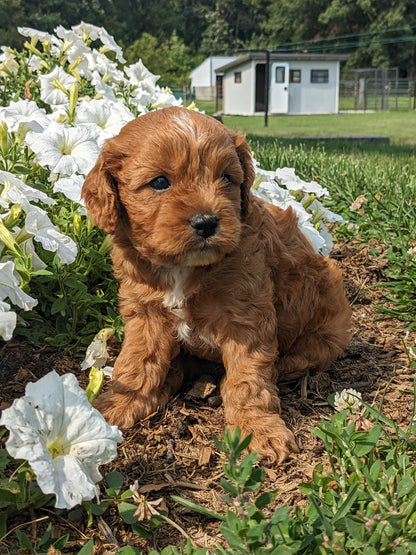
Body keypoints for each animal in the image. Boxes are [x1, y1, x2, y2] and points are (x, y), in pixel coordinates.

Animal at [82, 106, 352, 462]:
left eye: (226, 178)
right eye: (159, 182)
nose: (207, 222)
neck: (183, 268)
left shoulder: (246, 315)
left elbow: (248, 377)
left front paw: (258, 430)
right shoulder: (145, 312)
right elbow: (137, 363)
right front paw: (117, 405)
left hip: (331, 318)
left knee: (291, 361)